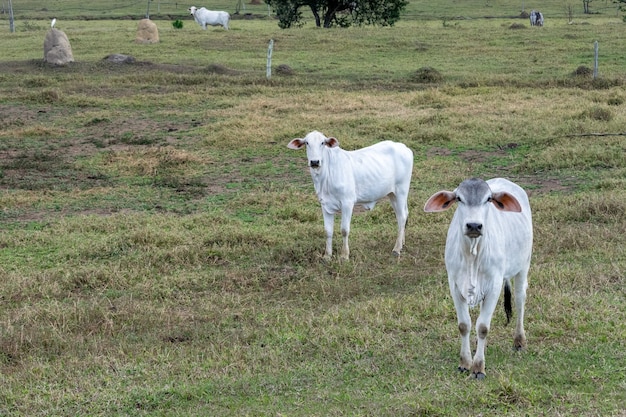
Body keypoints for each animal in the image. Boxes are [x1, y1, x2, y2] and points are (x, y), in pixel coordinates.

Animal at [288, 130, 414, 260]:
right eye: (307, 143)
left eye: (322, 142)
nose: (314, 162)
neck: (325, 176)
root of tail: (403, 147)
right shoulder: (325, 204)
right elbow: (328, 231)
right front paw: (327, 256)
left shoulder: (347, 203)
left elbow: (344, 230)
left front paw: (344, 255)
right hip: (392, 194)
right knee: (402, 215)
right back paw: (402, 243)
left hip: (401, 191)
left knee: (402, 217)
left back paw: (397, 249)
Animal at [422, 177, 528, 378]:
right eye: (459, 198)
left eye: (488, 199)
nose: (473, 226)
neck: (472, 254)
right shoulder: (454, 285)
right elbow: (464, 325)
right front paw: (465, 362)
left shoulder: (494, 285)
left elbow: (483, 327)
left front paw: (478, 367)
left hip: (523, 268)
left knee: (520, 301)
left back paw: (519, 340)